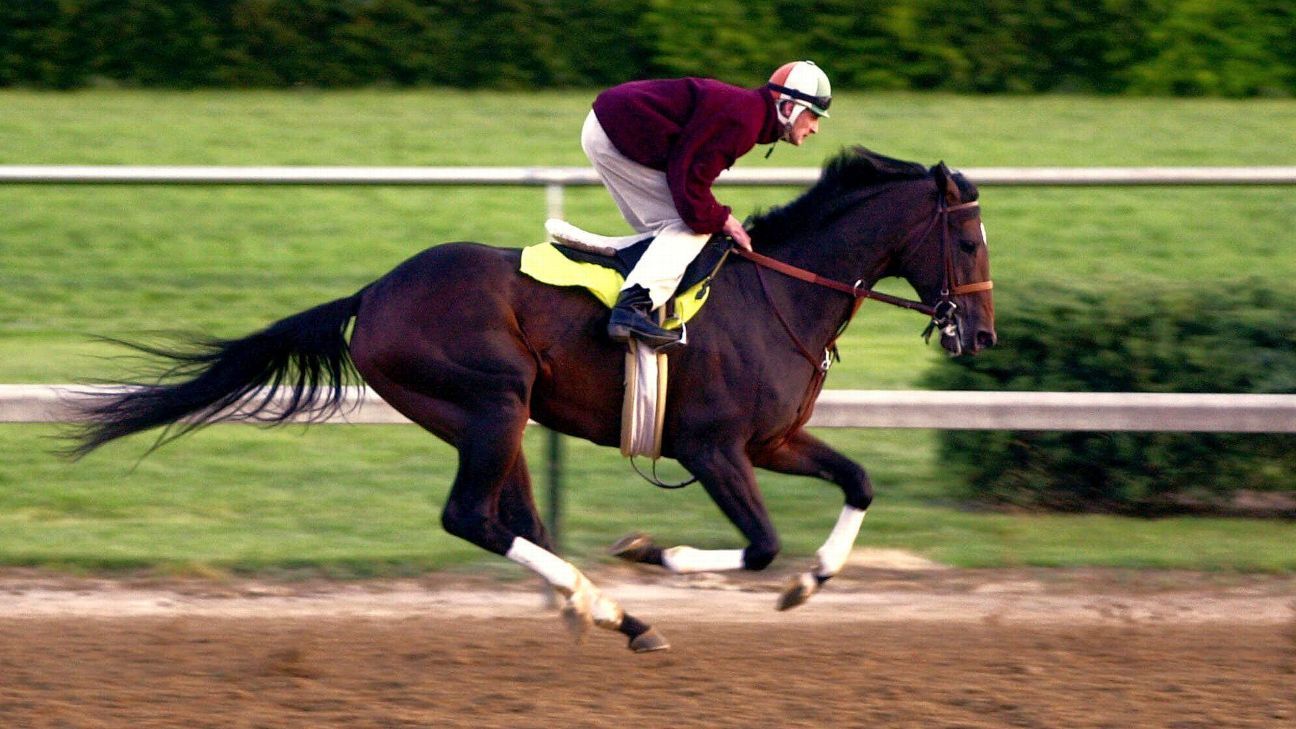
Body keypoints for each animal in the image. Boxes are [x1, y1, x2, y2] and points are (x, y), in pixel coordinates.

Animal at [70, 144, 995, 648]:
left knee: (515, 520)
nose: (980, 334)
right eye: (968, 238)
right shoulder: (712, 447)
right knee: (473, 518)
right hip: (491, 400)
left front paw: (812, 583)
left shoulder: (772, 440)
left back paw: (608, 611)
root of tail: (374, 292)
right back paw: (609, 602)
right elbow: (761, 543)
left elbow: (859, 482)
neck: (779, 292)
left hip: (497, 416)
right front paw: (649, 550)